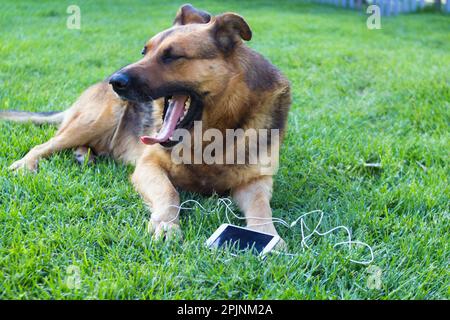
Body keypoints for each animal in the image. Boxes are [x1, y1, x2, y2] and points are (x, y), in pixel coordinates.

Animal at [1, 4, 290, 240]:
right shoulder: (148, 165)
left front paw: (269, 235)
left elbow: (262, 208)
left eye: (172, 56)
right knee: (44, 145)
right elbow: (170, 193)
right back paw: (27, 164)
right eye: (144, 51)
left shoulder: (256, 181)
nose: (115, 81)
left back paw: (85, 155)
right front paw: (166, 223)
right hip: (96, 120)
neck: (211, 134)